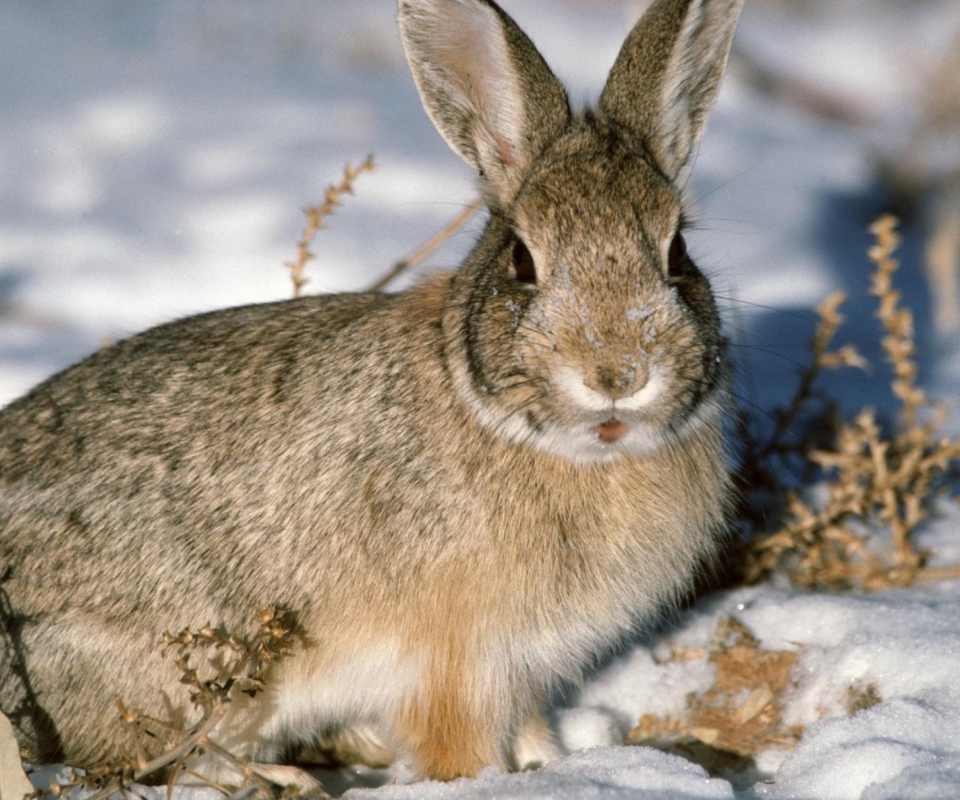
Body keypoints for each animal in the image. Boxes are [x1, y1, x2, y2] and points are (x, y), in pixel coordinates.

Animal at [0, 0, 744, 792]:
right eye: (522, 259)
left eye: (677, 253)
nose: (618, 374)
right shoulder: (455, 663)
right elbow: (457, 747)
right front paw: (486, 780)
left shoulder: (522, 670)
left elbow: (531, 727)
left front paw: (552, 763)